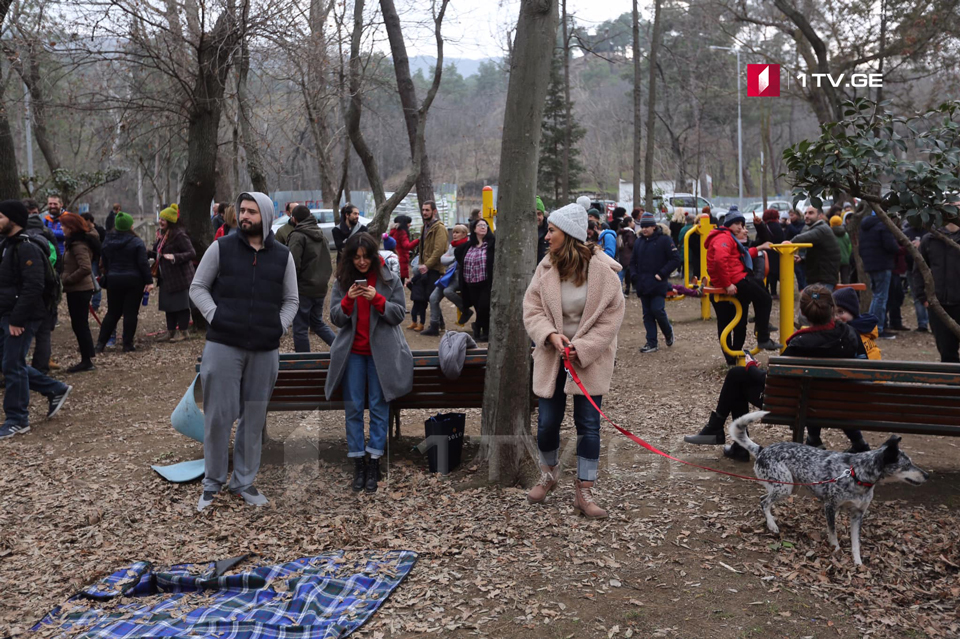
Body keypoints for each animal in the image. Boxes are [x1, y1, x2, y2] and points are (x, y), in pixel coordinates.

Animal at [732, 410, 928, 564]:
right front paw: (837, 551)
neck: (857, 474)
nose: (927, 475)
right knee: (764, 501)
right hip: (784, 487)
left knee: (765, 499)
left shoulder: (857, 515)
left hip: (789, 486)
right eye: (907, 465)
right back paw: (772, 525)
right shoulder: (830, 506)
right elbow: (833, 534)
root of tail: (762, 450)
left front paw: (858, 563)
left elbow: (855, 543)